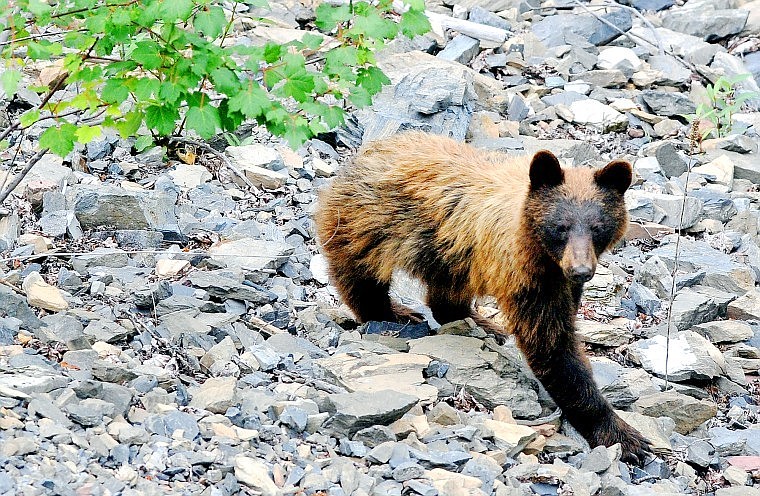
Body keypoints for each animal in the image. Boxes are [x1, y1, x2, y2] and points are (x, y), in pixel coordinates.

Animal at [314, 132, 652, 464]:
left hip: (450, 252)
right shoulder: (526, 277)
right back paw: (392, 312)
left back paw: (480, 322)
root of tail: (367, 150)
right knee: (360, 271)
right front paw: (625, 436)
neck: (542, 253)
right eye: (560, 226)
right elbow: (553, 347)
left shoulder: (559, 280)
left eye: (598, 227)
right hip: (372, 224)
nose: (580, 270)